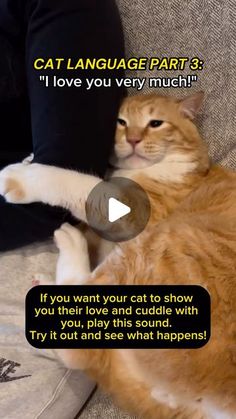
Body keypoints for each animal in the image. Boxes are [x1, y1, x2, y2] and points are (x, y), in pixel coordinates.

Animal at [0, 92, 235, 419]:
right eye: (121, 122)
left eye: (155, 123)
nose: (133, 139)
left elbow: (89, 187)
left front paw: (22, 175)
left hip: (167, 242)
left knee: (79, 348)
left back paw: (69, 242)